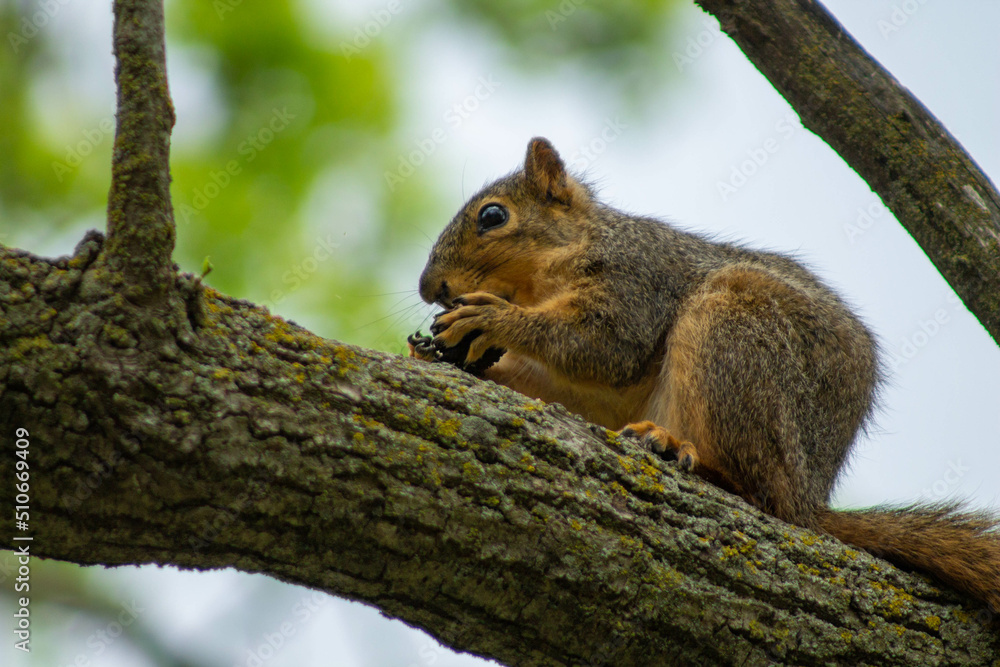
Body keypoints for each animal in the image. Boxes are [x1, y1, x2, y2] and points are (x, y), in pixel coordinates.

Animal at [409, 136, 1000, 613]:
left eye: (492, 217)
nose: (430, 288)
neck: (551, 271)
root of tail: (810, 498)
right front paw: (444, 353)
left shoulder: (637, 283)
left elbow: (604, 346)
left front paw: (492, 320)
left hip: (734, 334)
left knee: (758, 492)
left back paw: (682, 451)